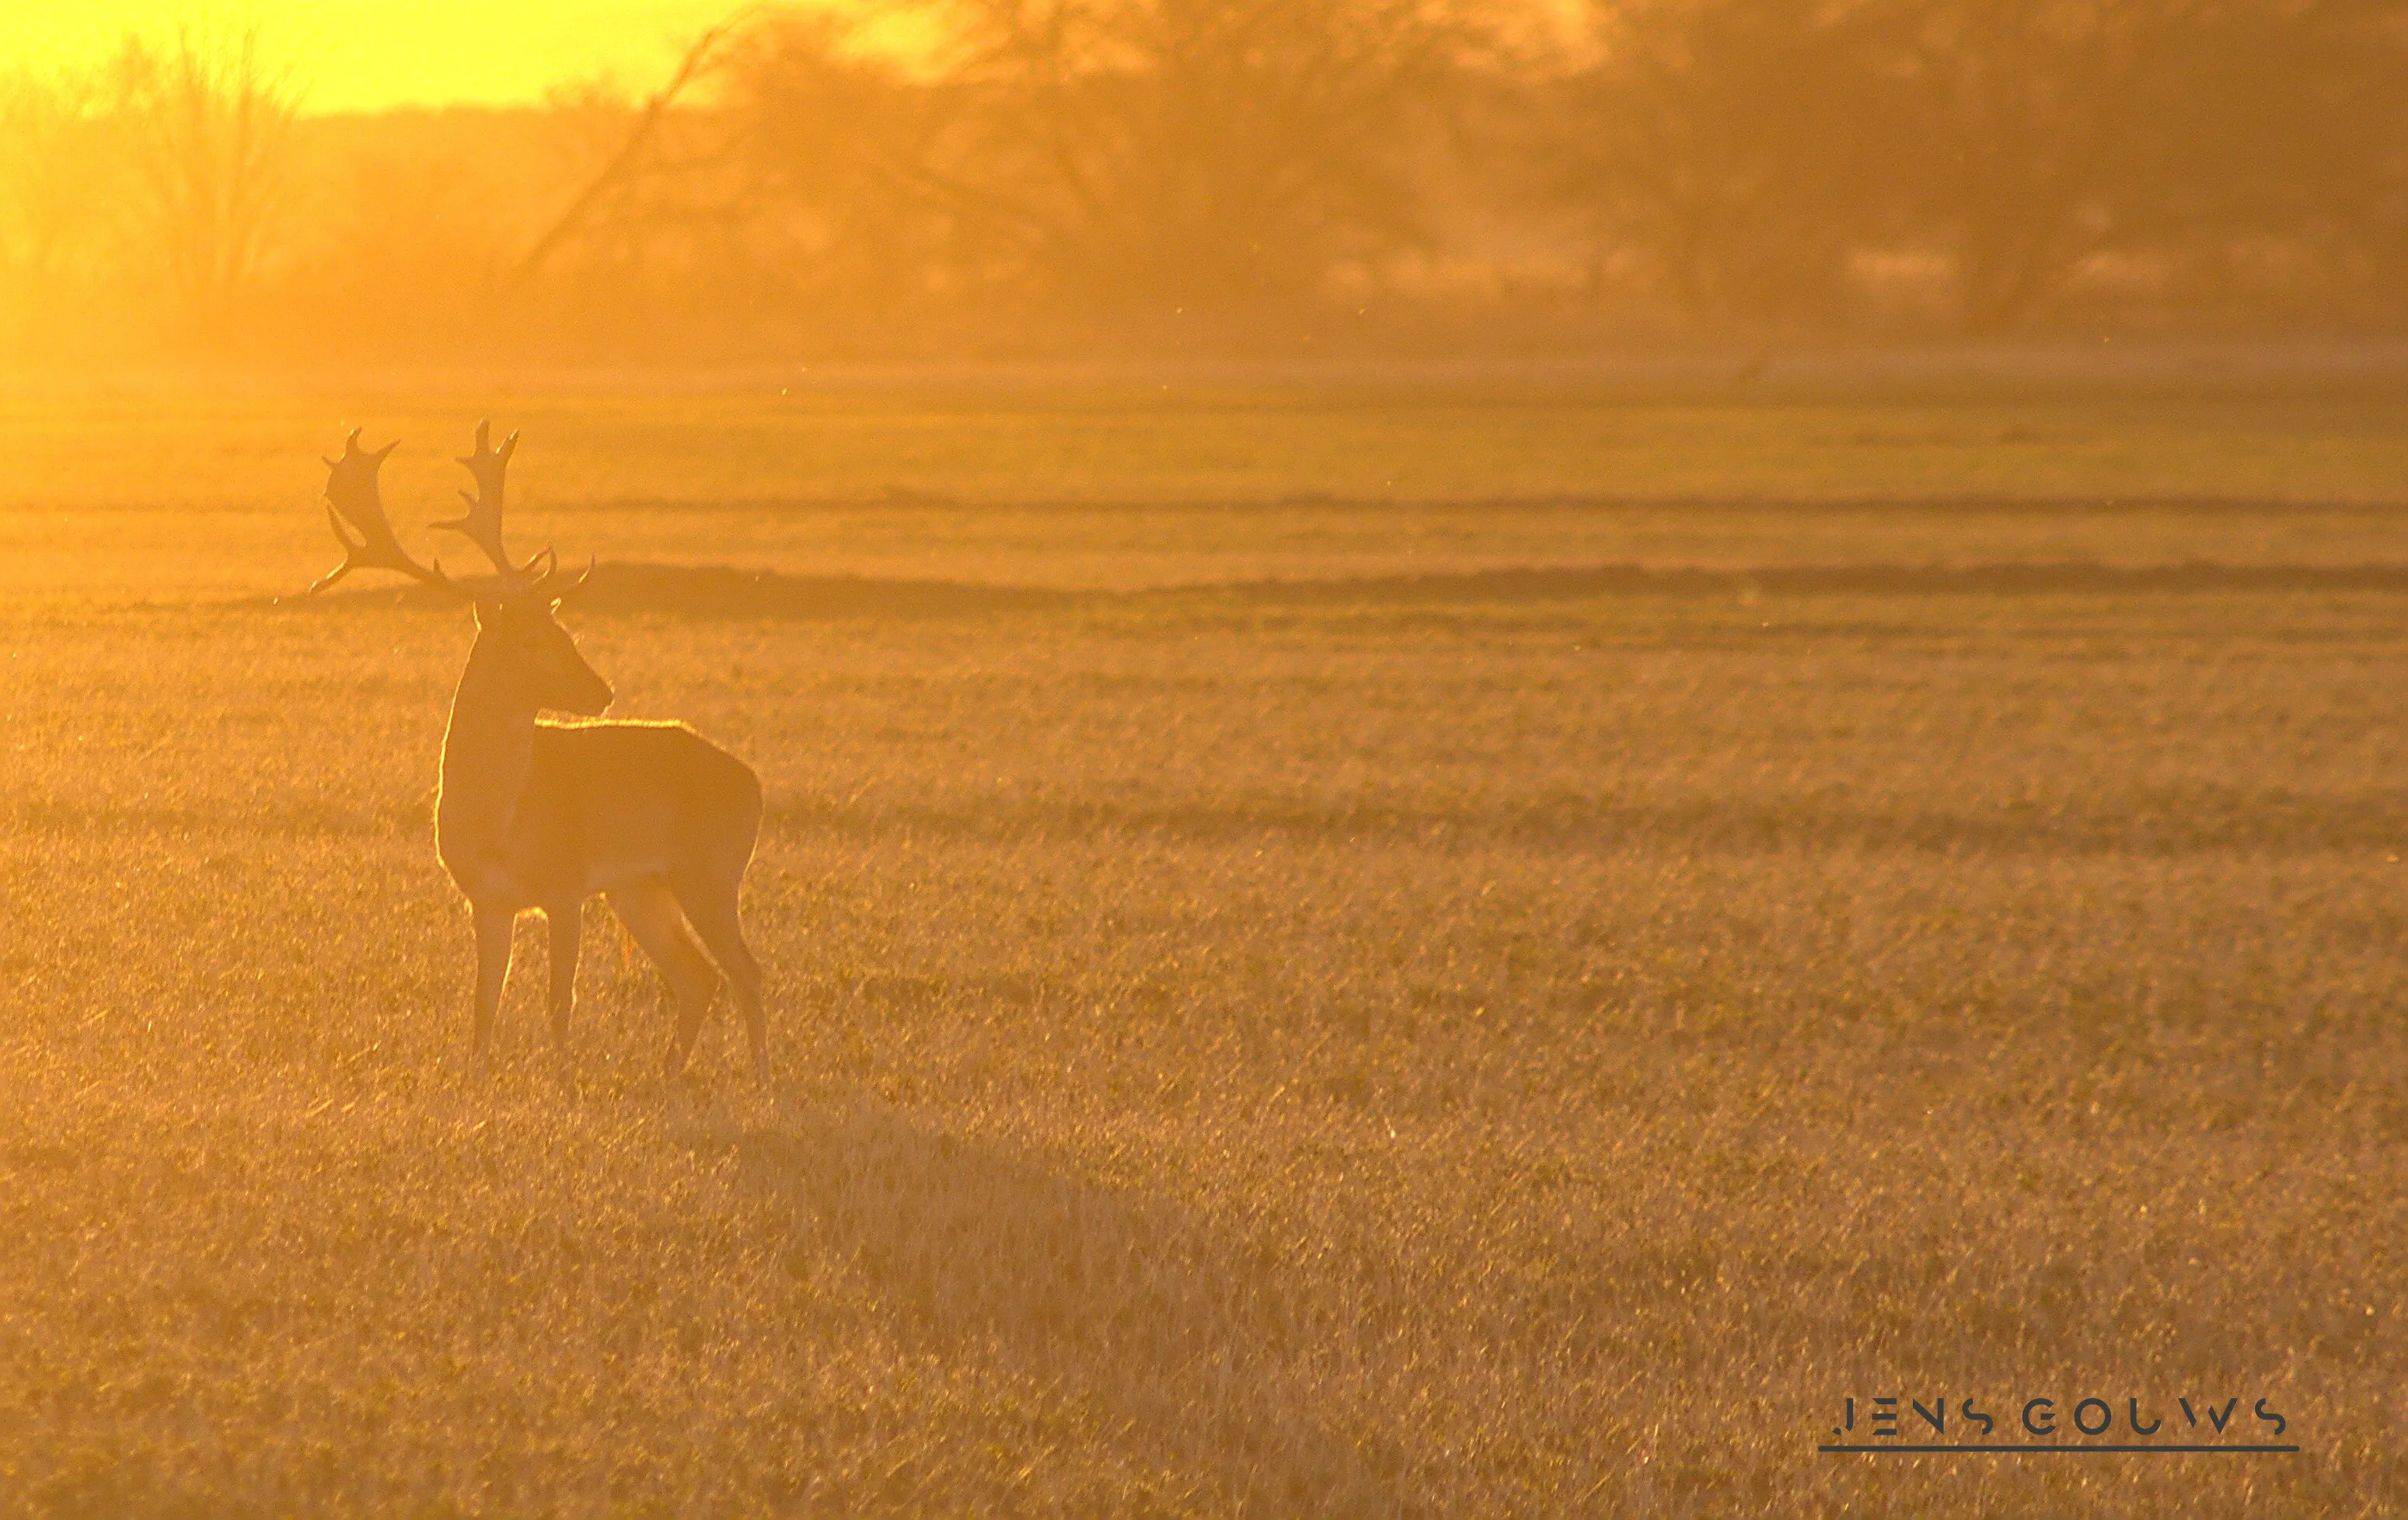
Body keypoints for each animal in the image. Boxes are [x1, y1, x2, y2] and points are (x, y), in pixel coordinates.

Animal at [308, 422, 769, 1082]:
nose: (603, 691)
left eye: (564, 631)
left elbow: (559, 999)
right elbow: (484, 1003)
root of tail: (752, 781)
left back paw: (762, 1079)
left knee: (746, 973)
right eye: (531, 639)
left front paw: (561, 1081)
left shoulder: (566, 886)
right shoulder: (487, 900)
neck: (500, 820)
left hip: (711, 870)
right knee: (699, 977)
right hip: (642, 889)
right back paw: (669, 1075)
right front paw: (475, 1080)